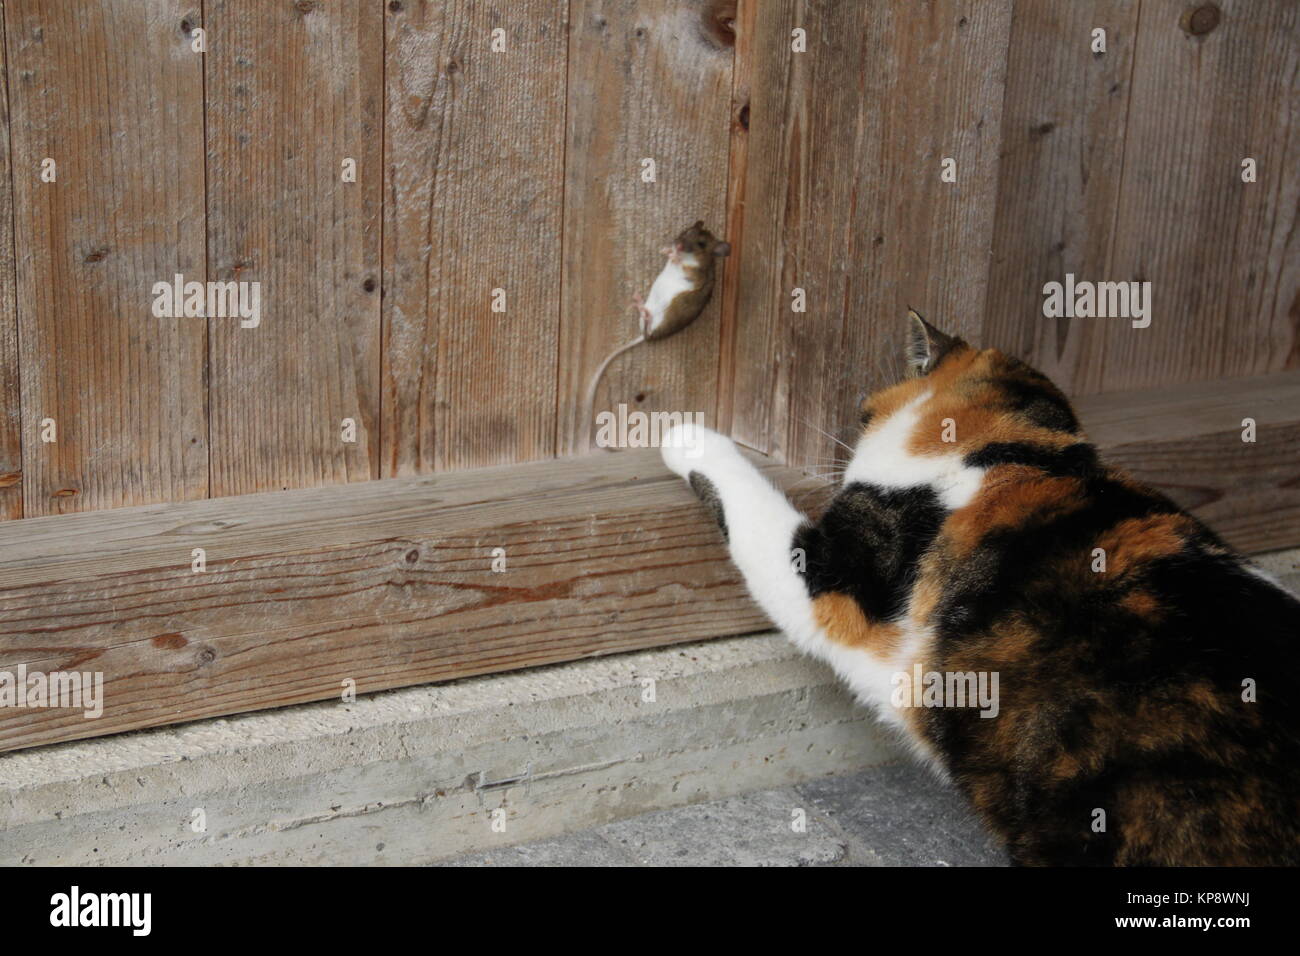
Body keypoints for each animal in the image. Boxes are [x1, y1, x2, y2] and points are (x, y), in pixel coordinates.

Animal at [660, 314, 1300, 868]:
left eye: (863, 416)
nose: (844, 449)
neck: (1012, 455)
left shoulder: (831, 582)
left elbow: (748, 498)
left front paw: (685, 434)